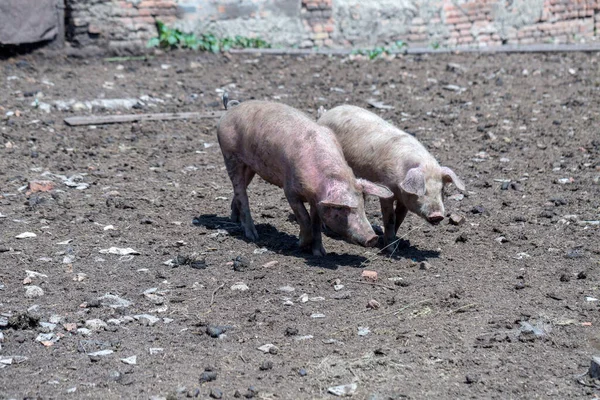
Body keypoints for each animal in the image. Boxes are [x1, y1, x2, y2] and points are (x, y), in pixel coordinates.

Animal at [216, 97, 394, 256]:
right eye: (342, 210)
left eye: (363, 206)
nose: (372, 238)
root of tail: (232, 108)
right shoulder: (289, 191)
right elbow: (304, 218)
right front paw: (299, 244)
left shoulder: (317, 200)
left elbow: (315, 223)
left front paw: (320, 254)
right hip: (230, 155)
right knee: (241, 191)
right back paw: (253, 236)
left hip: (250, 166)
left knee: (241, 190)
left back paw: (234, 219)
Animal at [316, 104, 466, 247]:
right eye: (423, 190)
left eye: (442, 189)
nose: (438, 215)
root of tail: (325, 113)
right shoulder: (386, 190)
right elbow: (389, 218)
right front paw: (389, 248)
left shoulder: (404, 199)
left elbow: (399, 218)